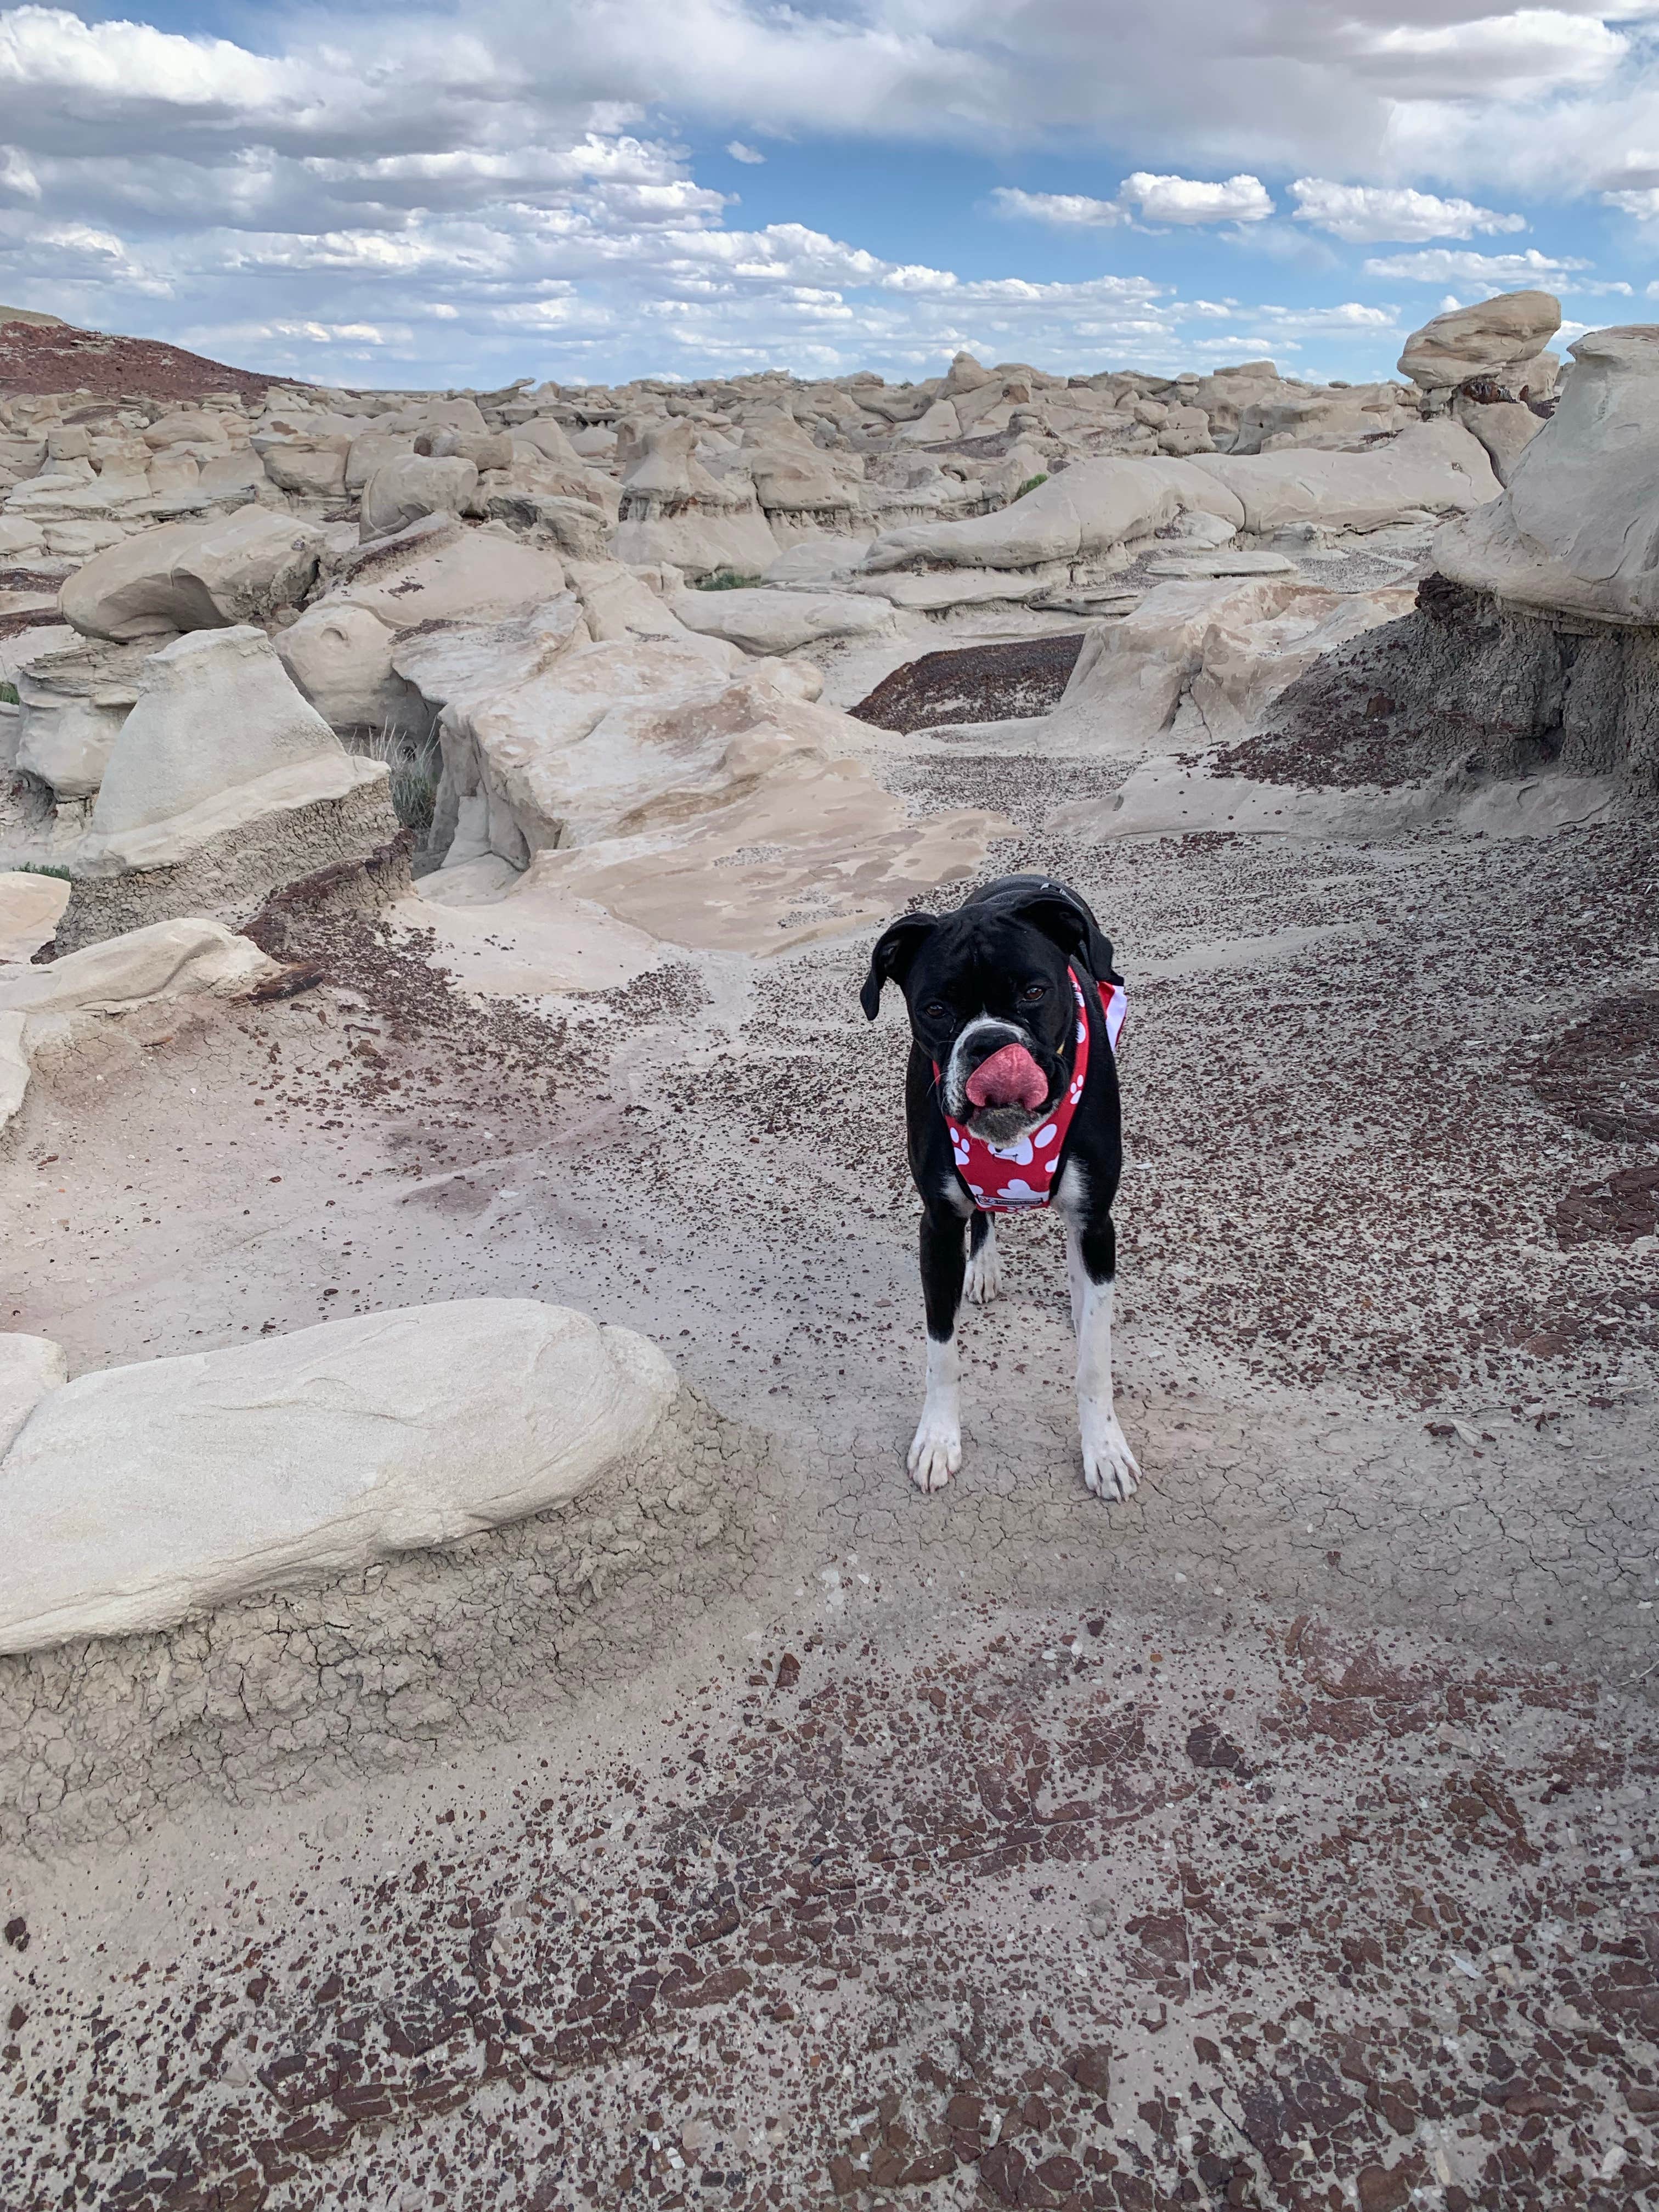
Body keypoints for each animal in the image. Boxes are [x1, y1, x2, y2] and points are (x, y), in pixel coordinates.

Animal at [862, 876, 1141, 1504]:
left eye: (1036, 991)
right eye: (935, 1009)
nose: (991, 1044)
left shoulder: (1095, 1221)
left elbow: (1094, 1361)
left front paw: (1104, 1449)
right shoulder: (939, 1226)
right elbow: (941, 1350)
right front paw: (938, 1440)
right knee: (985, 1213)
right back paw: (984, 1265)